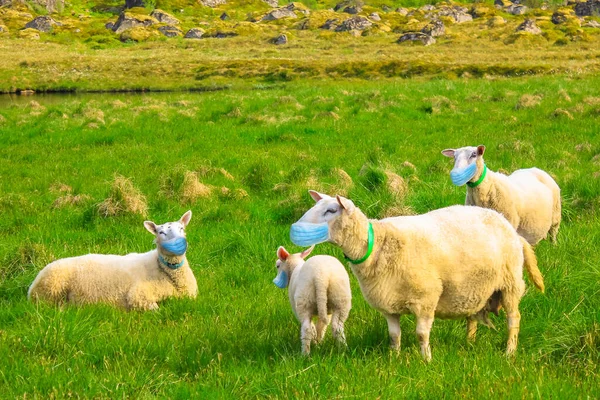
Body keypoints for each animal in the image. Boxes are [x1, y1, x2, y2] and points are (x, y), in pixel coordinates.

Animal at [28, 211, 198, 310]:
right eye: (160, 232)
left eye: (181, 228)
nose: (177, 243)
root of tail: (31, 287)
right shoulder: (138, 296)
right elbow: (155, 309)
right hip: (51, 289)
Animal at [288, 191, 548, 362]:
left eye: (331, 210)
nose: (294, 228)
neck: (378, 244)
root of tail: (511, 230)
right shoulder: (388, 303)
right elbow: (394, 335)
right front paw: (394, 357)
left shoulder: (426, 299)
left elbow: (422, 334)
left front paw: (426, 360)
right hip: (475, 288)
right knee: (473, 317)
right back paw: (469, 342)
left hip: (510, 283)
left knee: (514, 319)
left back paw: (509, 351)